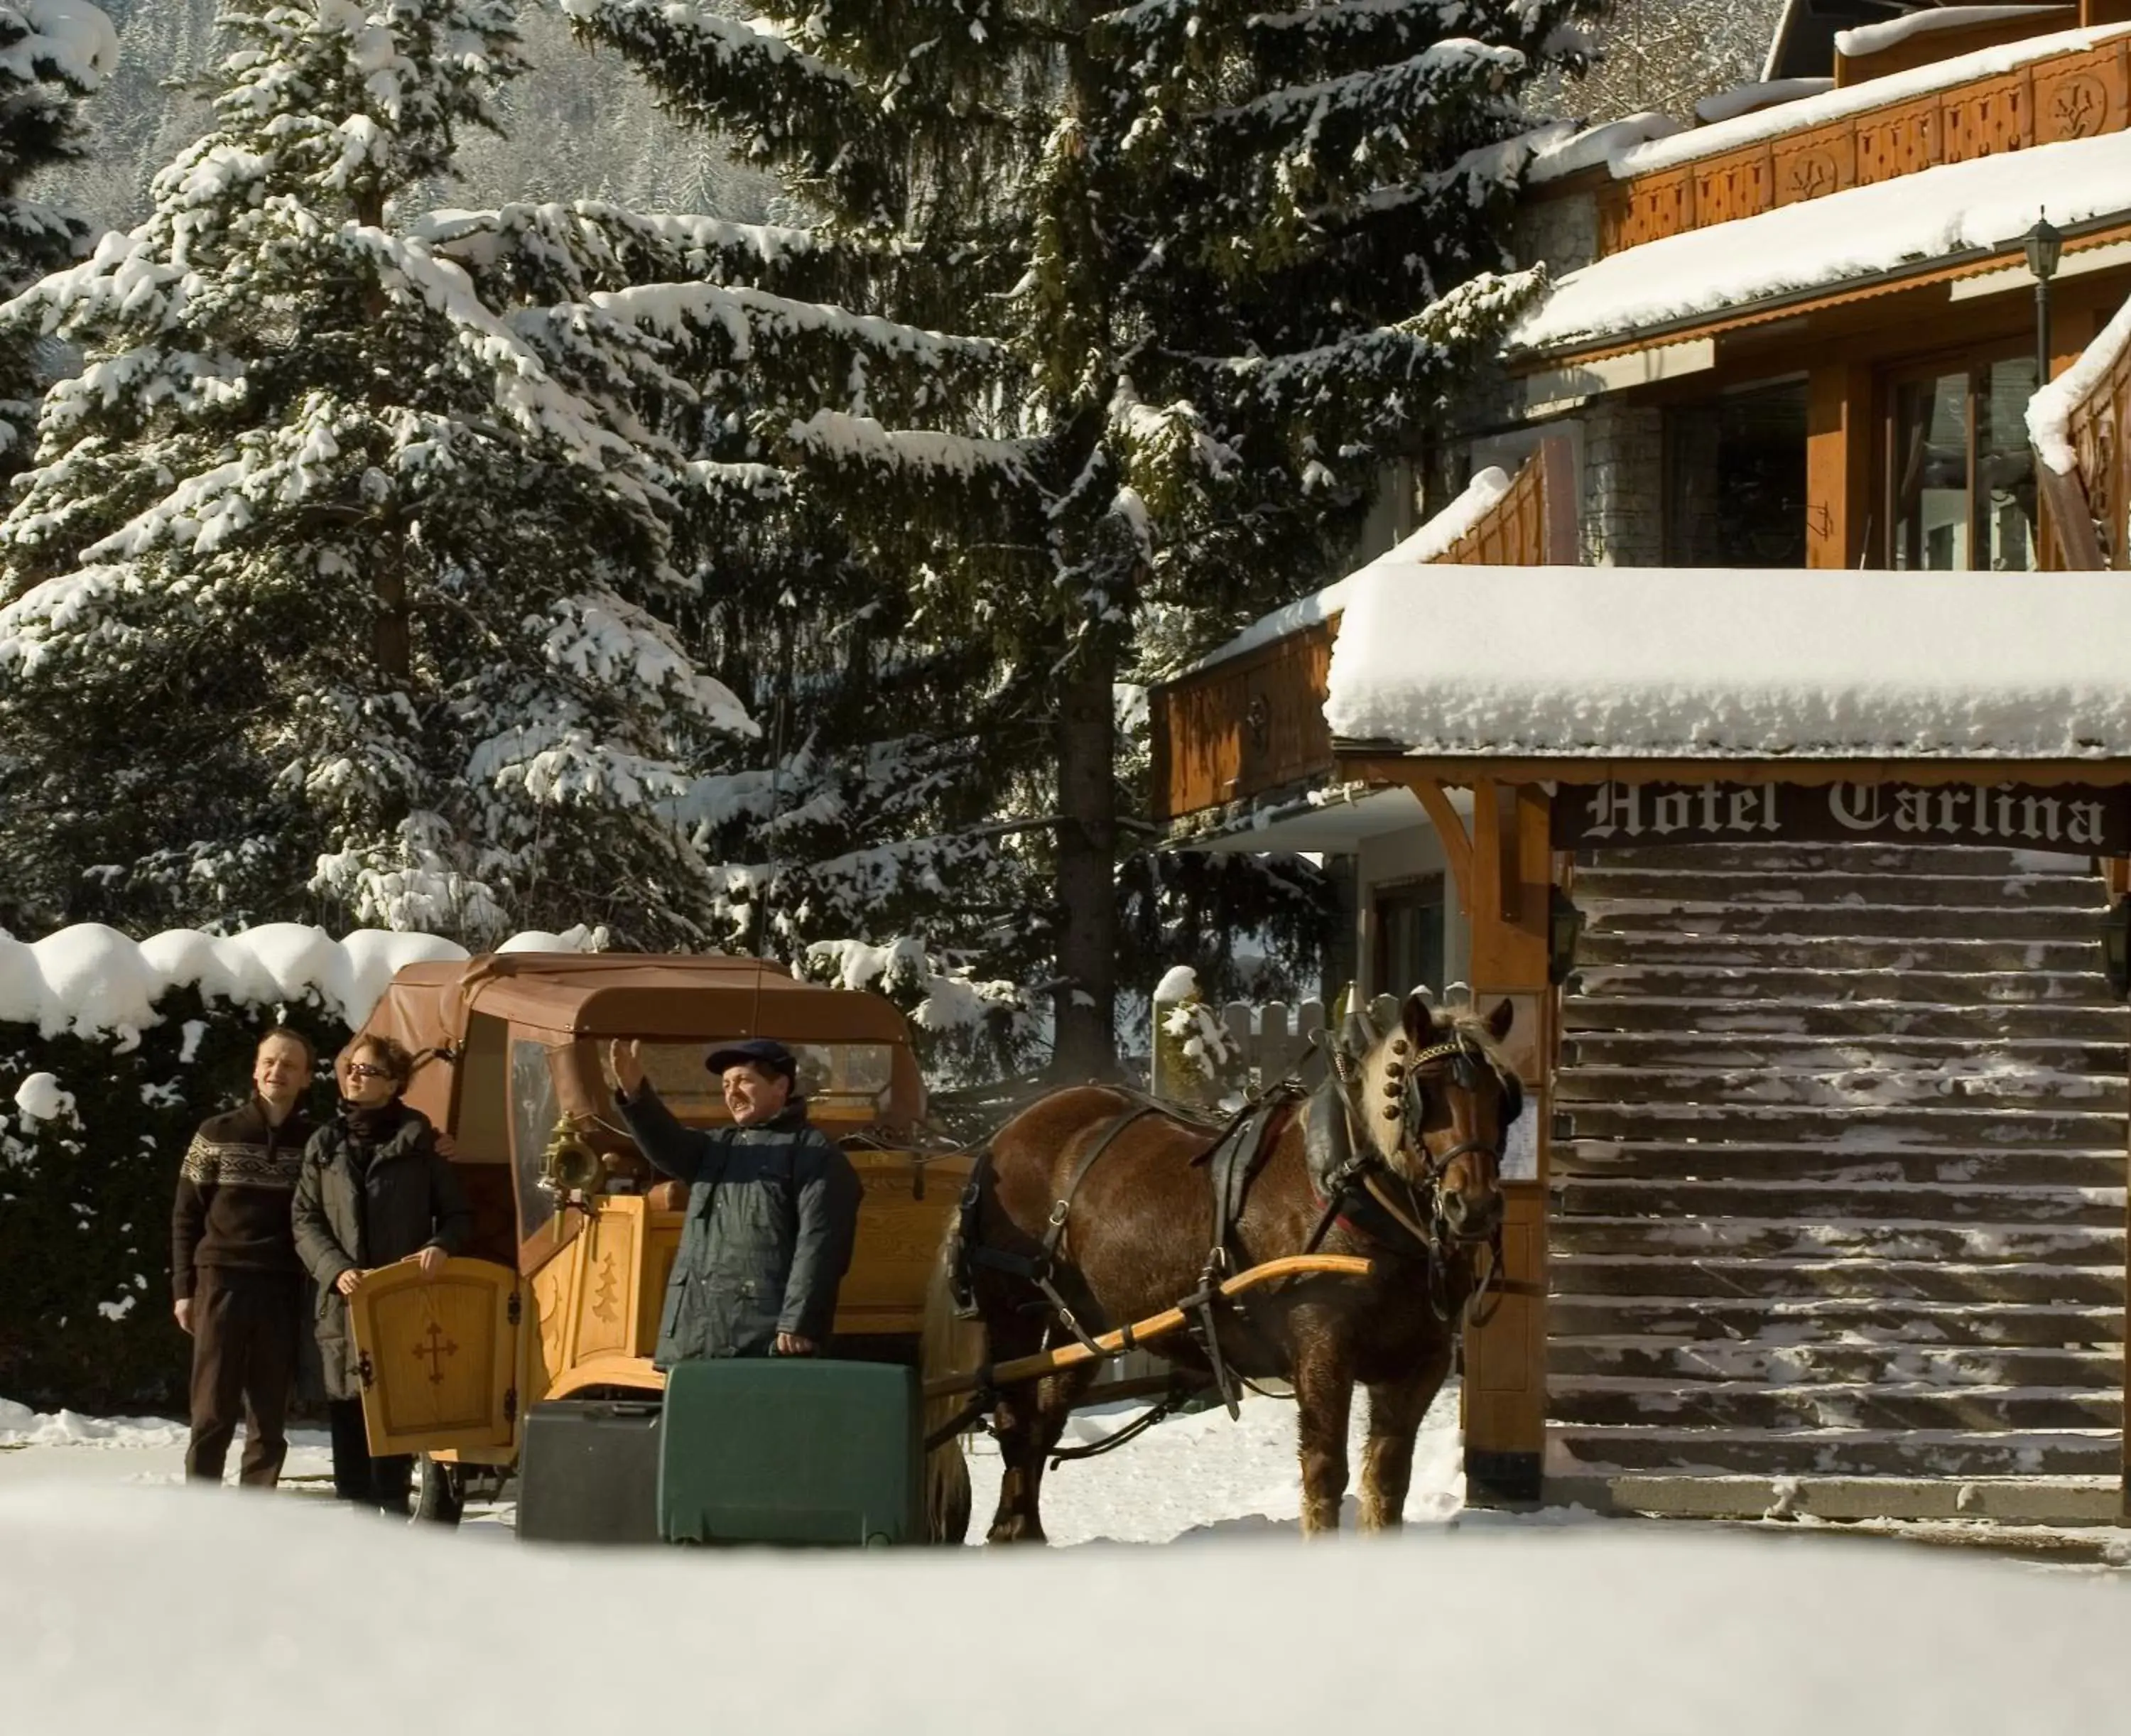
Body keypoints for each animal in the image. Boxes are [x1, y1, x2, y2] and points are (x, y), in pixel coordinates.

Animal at [925, 992, 1526, 1551]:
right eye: (1422, 1092)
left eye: (1504, 1098)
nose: (1473, 1207)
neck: (1349, 1187)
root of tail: (1004, 1136)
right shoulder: (1322, 1353)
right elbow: (1325, 1474)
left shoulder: (1419, 1362)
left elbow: (1387, 1483)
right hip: (1012, 1313)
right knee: (1014, 1421)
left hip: (1084, 1323)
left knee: (1043, 1420)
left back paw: (1020, 1531)